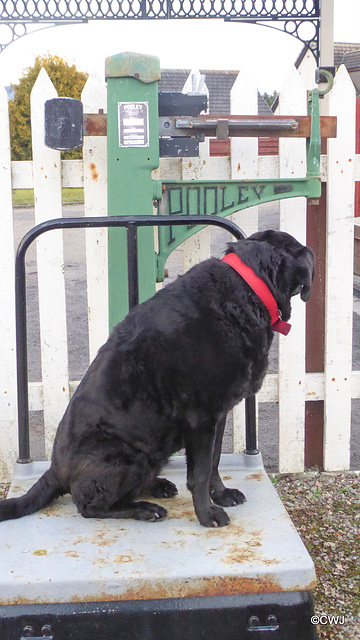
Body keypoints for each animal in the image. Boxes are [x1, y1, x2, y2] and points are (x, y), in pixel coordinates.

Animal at [0, 232, 314, 528]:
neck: (246, 290)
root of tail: (54, 471)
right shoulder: (201, 417)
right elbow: (200, 473)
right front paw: (208, 514)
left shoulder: (219, 414)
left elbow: (214, 462)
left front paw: (221, 495)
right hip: (127, 454)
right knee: (89, 506)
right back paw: (144, 509)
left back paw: (158, 486)